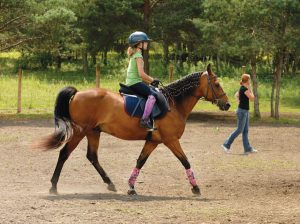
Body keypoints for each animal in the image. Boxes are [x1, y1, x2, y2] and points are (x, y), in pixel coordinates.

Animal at [37, 64, 230, 195]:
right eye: (217, 84)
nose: (227, 104)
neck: (174, 104)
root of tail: (77, 93)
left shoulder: (153, 141)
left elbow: (140, 161)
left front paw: (130, 187)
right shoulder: (171, 140)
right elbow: (185, 161)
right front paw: (196, 187)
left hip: (93, 132)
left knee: (92, 156)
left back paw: (110, 183)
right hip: (80, 132)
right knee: (64, 154)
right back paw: (53, 186)